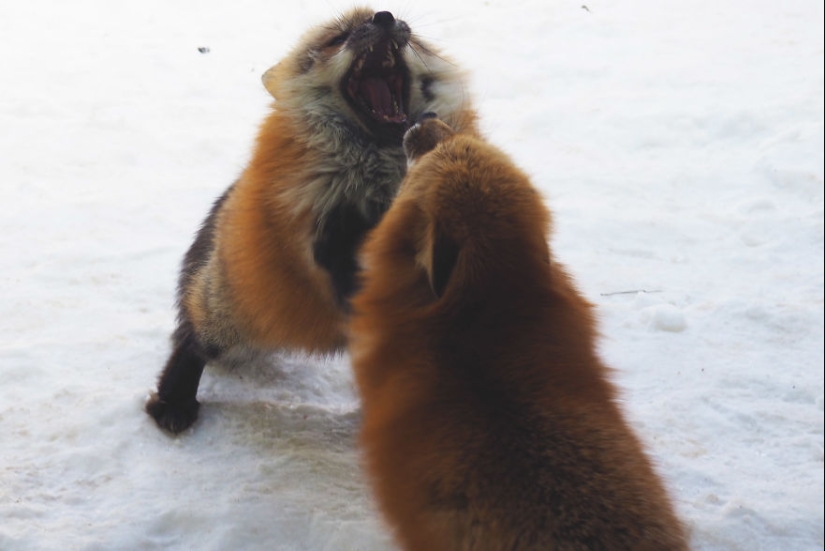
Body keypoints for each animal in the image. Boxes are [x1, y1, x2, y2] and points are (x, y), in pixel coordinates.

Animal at [144, 6, 474, 434]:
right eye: (338, 38)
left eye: (411, 35)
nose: (384, 17)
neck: (382, 179)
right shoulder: (326, 233)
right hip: (231, 314)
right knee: (195, 340)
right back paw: (174, 400)